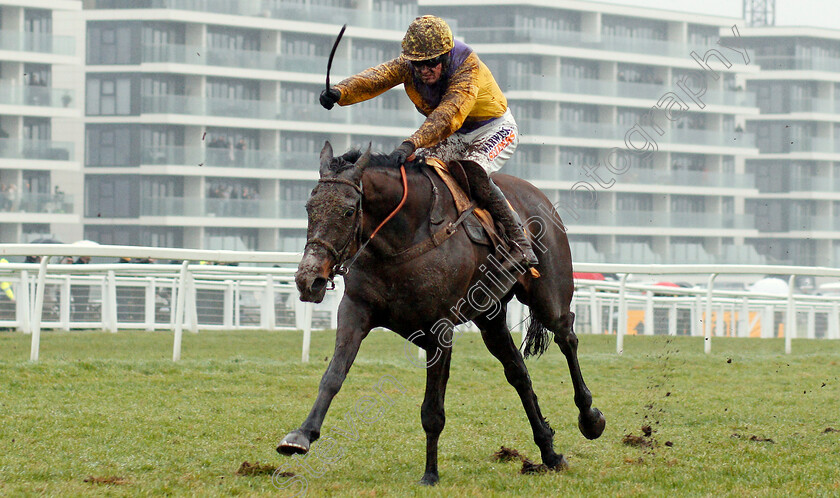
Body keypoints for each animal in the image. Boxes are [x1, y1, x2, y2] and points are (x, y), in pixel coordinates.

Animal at [278, 142, 608, 484]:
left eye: (346, 211)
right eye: (309, 208)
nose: (309, 279)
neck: (401, 238)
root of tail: (540, 198)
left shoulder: (440, 328)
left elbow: (432, 410)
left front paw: (430, 474)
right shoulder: (355, 309)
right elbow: (333, 376)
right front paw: (301, 435)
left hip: (549, 296)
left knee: (567, 336)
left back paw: (590, 417)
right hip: (490, 318)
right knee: (519, 373)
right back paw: (549, 452)